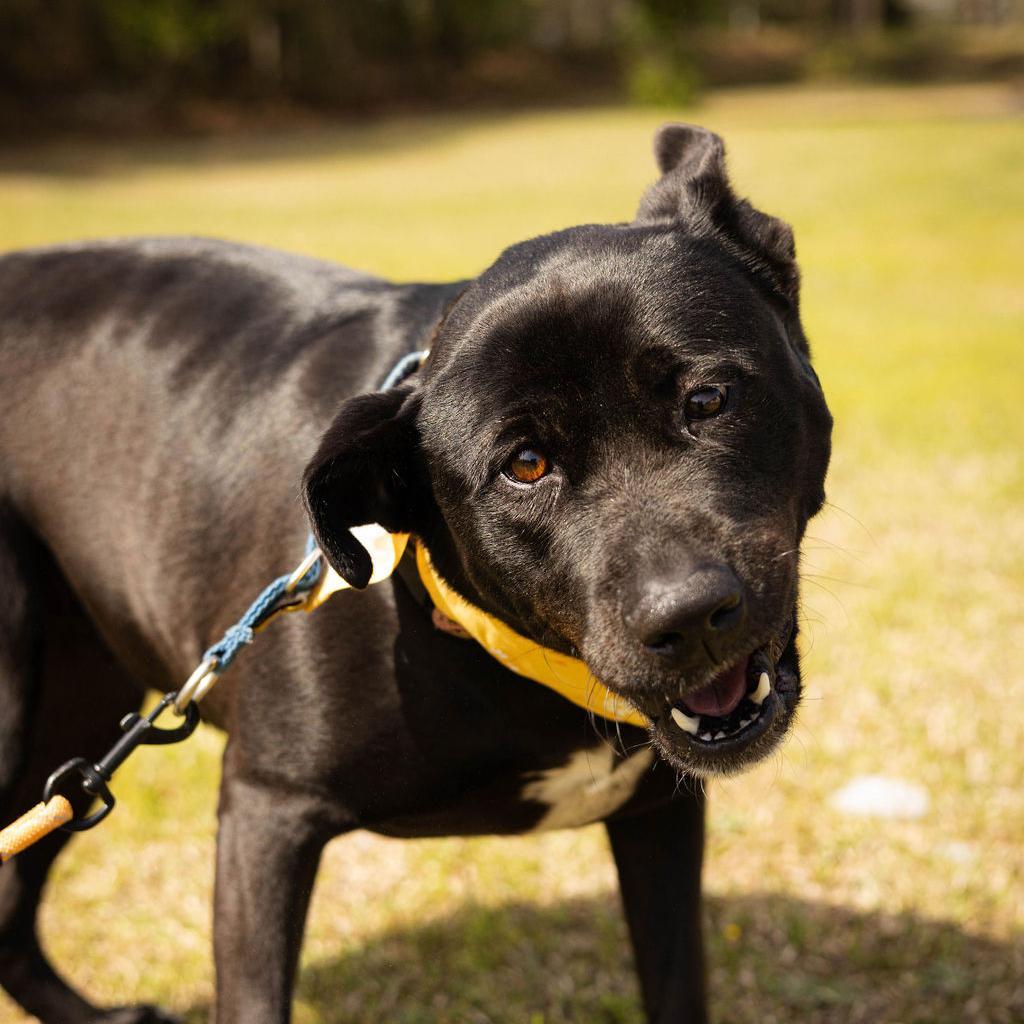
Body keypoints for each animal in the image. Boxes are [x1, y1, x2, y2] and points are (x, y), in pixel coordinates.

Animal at [0, 123, 831, 1019]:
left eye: (708, 400)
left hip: (79, 710)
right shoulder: (266, 812)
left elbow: (675, 983)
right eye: (525, 465)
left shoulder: (659, 818)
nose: (687, 616)